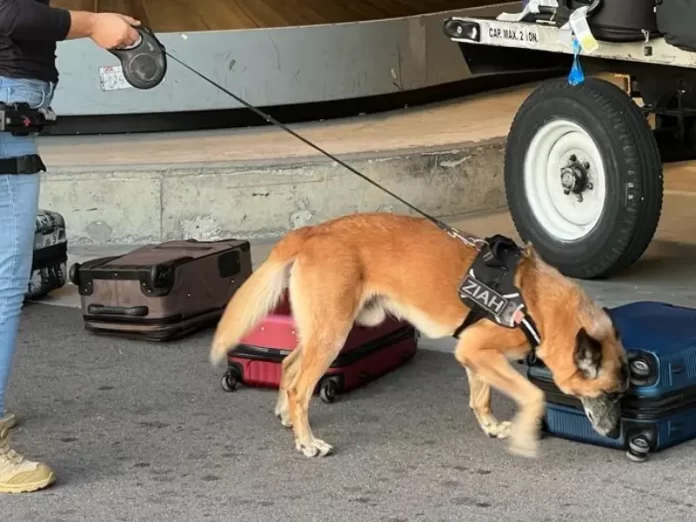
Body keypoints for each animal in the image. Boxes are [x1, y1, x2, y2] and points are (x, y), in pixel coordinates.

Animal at [208, 210, 632, 456]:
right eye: (609, 395)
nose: (614, 433)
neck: (536, 302)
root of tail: (313, 231)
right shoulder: (480, 351)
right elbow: (532, 394)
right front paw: (525, 436)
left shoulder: (473, 355)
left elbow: (481, 397)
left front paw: (491, 426)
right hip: (332, 334)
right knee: (300, 385)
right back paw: (306, 440)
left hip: (322, 330)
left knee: (289, 364)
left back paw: (286, 415)